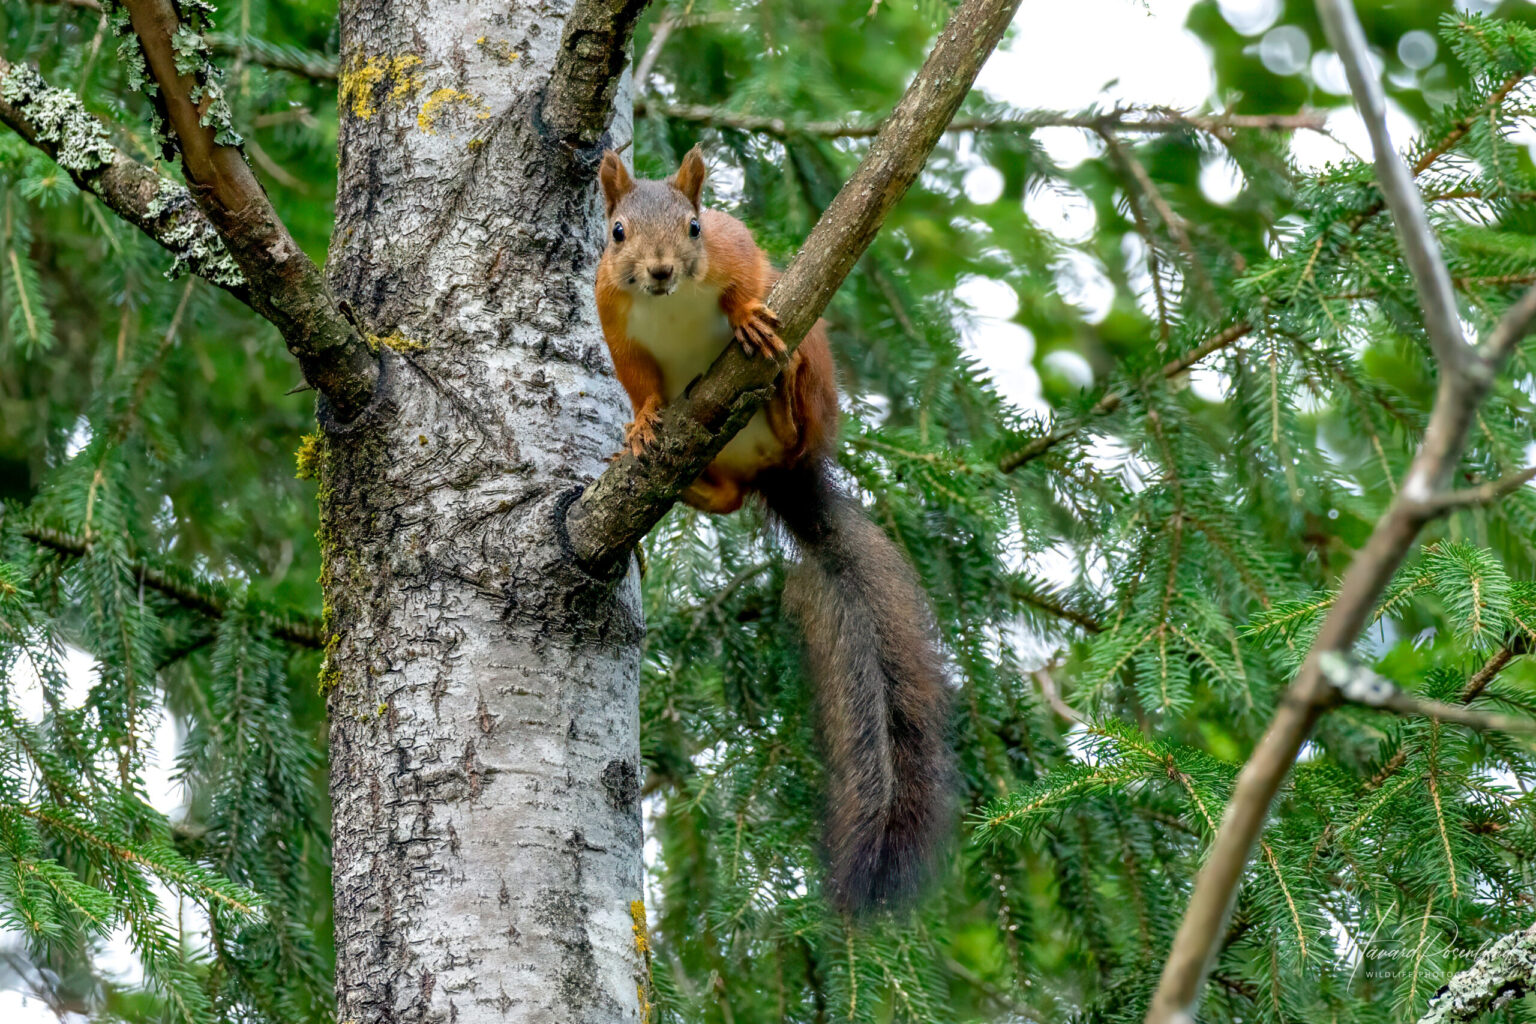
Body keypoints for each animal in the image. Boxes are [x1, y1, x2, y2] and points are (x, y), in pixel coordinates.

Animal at [595, 146, 954, 914]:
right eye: (615, 233)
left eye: (696, 226)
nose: (660, 271)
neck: (670, 302)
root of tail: (781, 475)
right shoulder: (615, 323)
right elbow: (639, 386)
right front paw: (639, 424)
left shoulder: (739, 255)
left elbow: (749, 281)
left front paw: (744, 316)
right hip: (722, 462)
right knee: (731, 501)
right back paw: (692, 483)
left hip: (810, 365)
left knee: (794, 420)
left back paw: (786, 402)